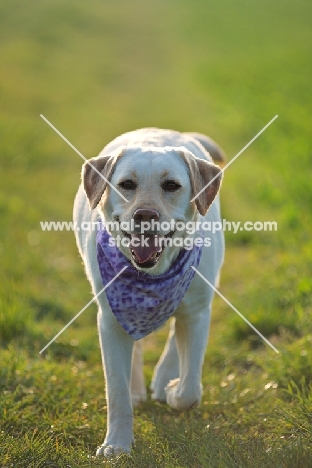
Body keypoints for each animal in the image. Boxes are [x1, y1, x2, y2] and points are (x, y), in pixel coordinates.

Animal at [73, 128, 224, 458]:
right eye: (127, 184)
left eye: (171, 185)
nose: (145, 214)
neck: (153, 273)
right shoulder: (110, 320)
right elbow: (116, 392)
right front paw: (116, 443)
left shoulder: (198, 310)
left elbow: (190, 389)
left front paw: (172, 389)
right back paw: (138, 389)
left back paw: (165, 377)